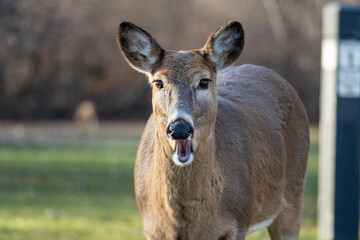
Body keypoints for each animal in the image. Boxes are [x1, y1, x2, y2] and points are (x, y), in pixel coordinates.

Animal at [116, 21, 308, 240]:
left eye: (204, 81)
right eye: (159, 83)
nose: (179, 128)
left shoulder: (236, 225)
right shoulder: (152, 229)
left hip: (293, 193)